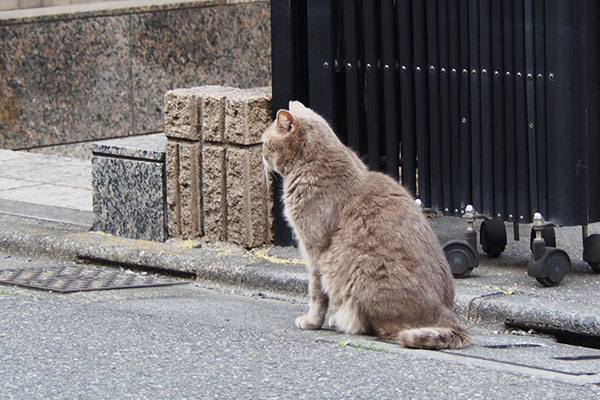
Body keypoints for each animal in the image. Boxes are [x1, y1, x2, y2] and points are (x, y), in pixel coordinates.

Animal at [262, 101, 474, 350]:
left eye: (265, 142)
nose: (261, 155)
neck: (311, 163)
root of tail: (447, 316)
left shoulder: (315, 251)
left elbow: (316, 292)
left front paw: (312, 321)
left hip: (360, 270)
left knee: (385, 329)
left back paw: (345, 321)